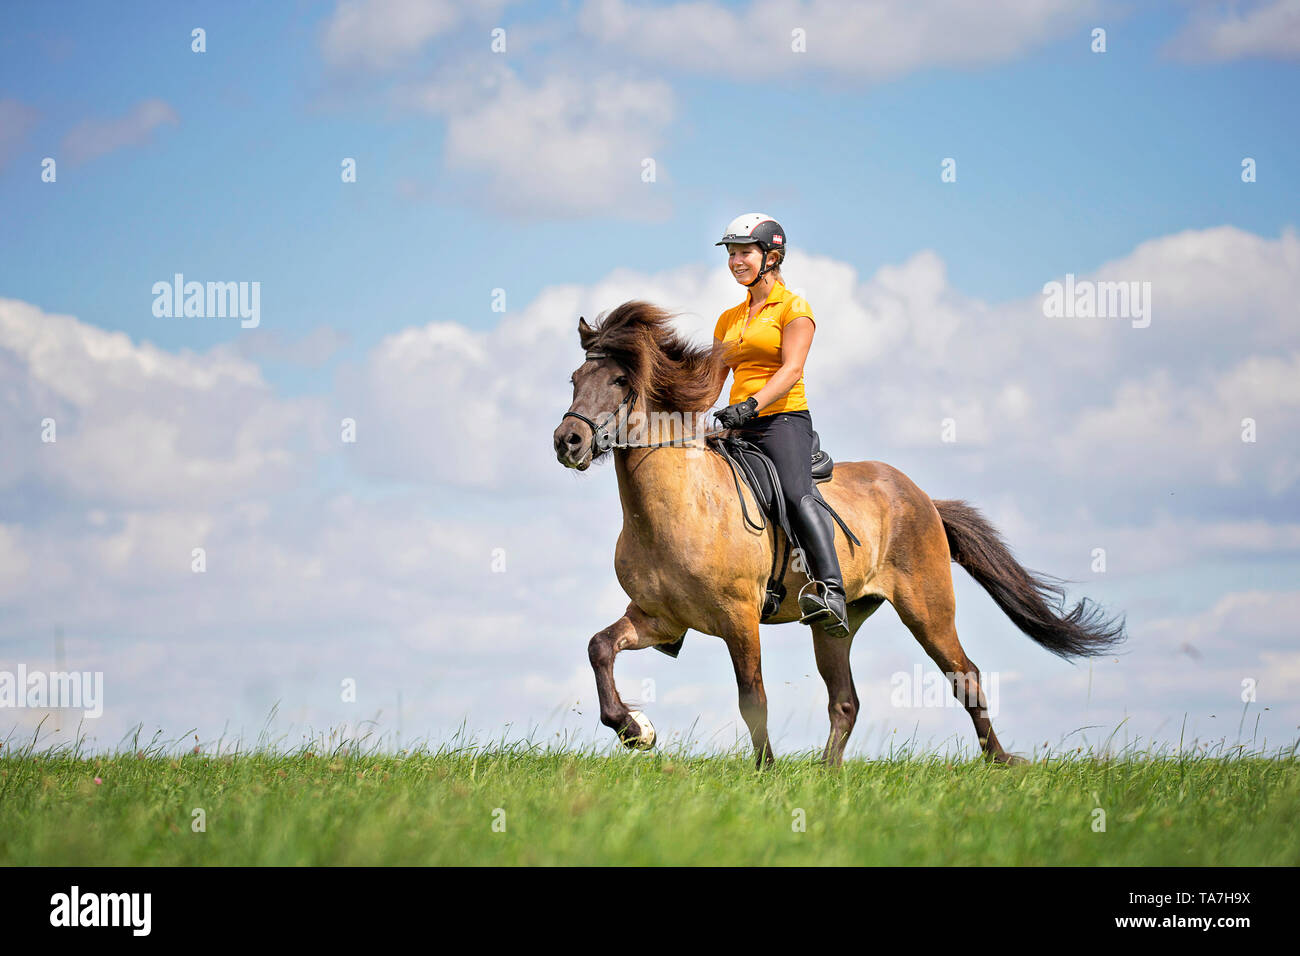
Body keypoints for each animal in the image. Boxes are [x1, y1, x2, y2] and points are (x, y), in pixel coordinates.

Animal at [553, 303, 1123, 764]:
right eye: (575, 378)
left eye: (621, 382)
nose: (568, 441)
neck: (677, 508)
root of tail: (922, 498)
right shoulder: (660, 619)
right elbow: (599, 648)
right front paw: (634, 729)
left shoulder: (739, 619)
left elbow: (752, 698)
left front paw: (765, 772)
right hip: (836, 625)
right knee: (845, 701)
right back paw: (826, 774)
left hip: (928, 610)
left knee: (966, 676)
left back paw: (1000, 762)